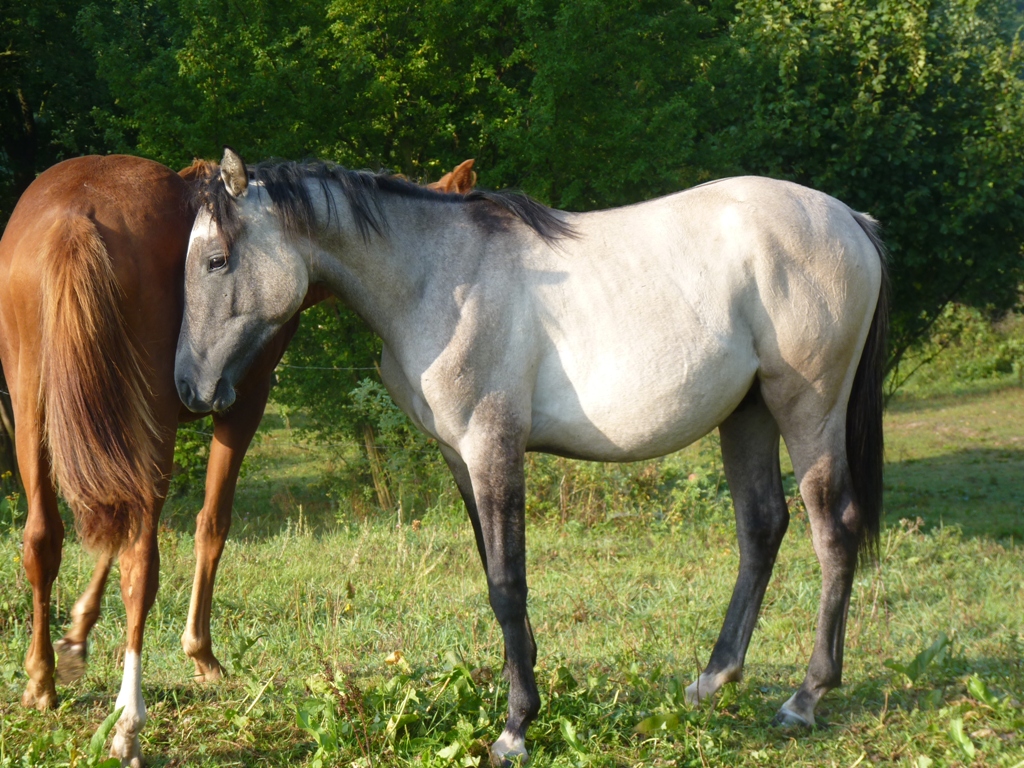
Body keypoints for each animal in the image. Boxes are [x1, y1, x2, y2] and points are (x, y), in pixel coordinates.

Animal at [1, 151, 475, 765]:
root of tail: (76, 214)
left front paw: (77, 635)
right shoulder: (241, 403)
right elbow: (212, 525)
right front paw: (200, 653)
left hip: (32, 409)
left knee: (43, 539)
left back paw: (40, 680)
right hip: (146, 422)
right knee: (141, 561)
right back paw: (129, 720)